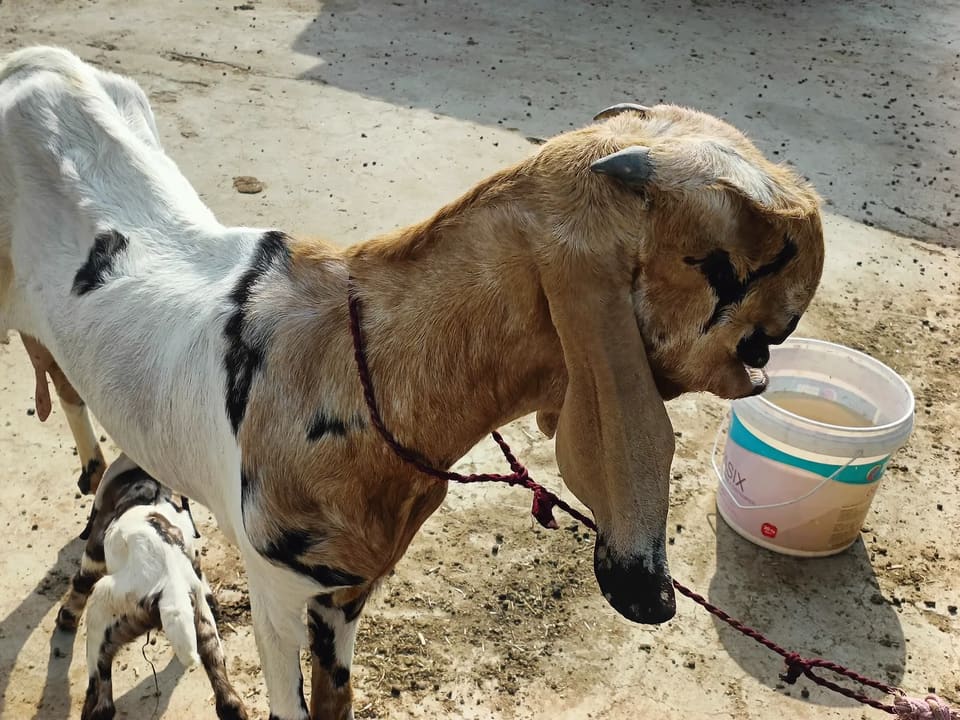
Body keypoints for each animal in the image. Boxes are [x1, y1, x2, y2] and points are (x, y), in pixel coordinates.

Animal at [57, 454, 247, 720]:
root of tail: (171, 590)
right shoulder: (193, 554)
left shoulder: (94, 552)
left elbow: (80, 583)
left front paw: (66, 617)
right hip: (204, 627)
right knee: (228, 699)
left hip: (100, 618)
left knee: (102, 697)